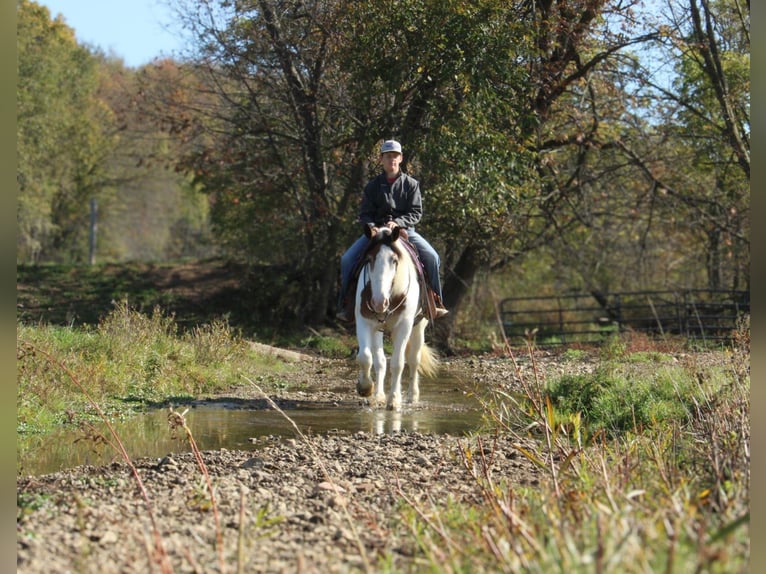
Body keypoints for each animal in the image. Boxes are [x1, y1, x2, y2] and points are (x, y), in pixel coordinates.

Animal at [354, 227, 438, 412]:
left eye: (394, 260)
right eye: (369, 259)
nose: (379, 303)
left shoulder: (404, 326)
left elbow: (398, 363)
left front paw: (394, 400)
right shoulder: (364, 322)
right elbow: (365, 357)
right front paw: (365, 388)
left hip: (418, 328)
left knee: (413, 360)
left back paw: (412, 396)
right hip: (378, 330)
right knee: (380, 361)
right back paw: (379, 396)